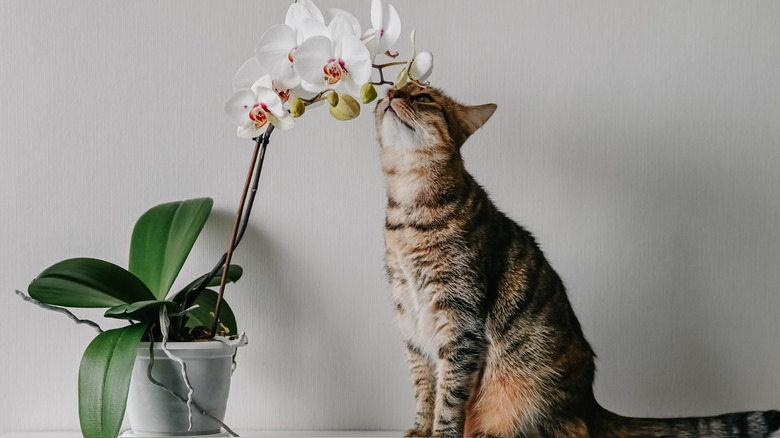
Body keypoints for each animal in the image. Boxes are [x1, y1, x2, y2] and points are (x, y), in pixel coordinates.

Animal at [374, 83, 776, 438]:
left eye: (423, 97)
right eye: (394, 87)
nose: (390, 93)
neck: (408, 211)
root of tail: (589, 403)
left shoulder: (460, 318)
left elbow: (450, 393)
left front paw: (441, 433)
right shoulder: (410, 322)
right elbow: (425, 389)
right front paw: (420, 429)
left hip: (529, 390)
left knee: (569, 430)